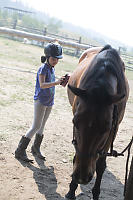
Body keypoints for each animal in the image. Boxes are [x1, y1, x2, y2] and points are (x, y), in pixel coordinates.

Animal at [65, 45, 129, 200]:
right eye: (75, 122)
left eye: (106, 128)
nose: (81, 177)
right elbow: (76, 154)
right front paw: (72, 189)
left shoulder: (114, 129)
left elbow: (100, 164)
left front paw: (95, 193)